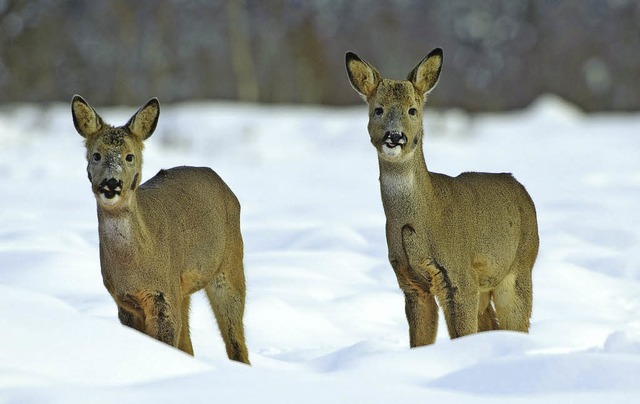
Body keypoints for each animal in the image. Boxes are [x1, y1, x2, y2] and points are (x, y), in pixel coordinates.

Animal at [71, 95, 249, 362]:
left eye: (129, 156)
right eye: (96, 155)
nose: (111, 183)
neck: (136, 267)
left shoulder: (164, 295)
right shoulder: (125, 302)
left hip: (229, 264)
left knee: (236, 340)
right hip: (183, 289)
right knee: (189, 345)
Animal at [344, 49, 540, 348]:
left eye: (412, 110)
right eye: (378, 109)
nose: (395, 136)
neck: (421, 218)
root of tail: (520, 188)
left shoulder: (460, 277)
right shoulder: (410, 283)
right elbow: (420, 341)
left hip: (518, 269)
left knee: (516, 325)